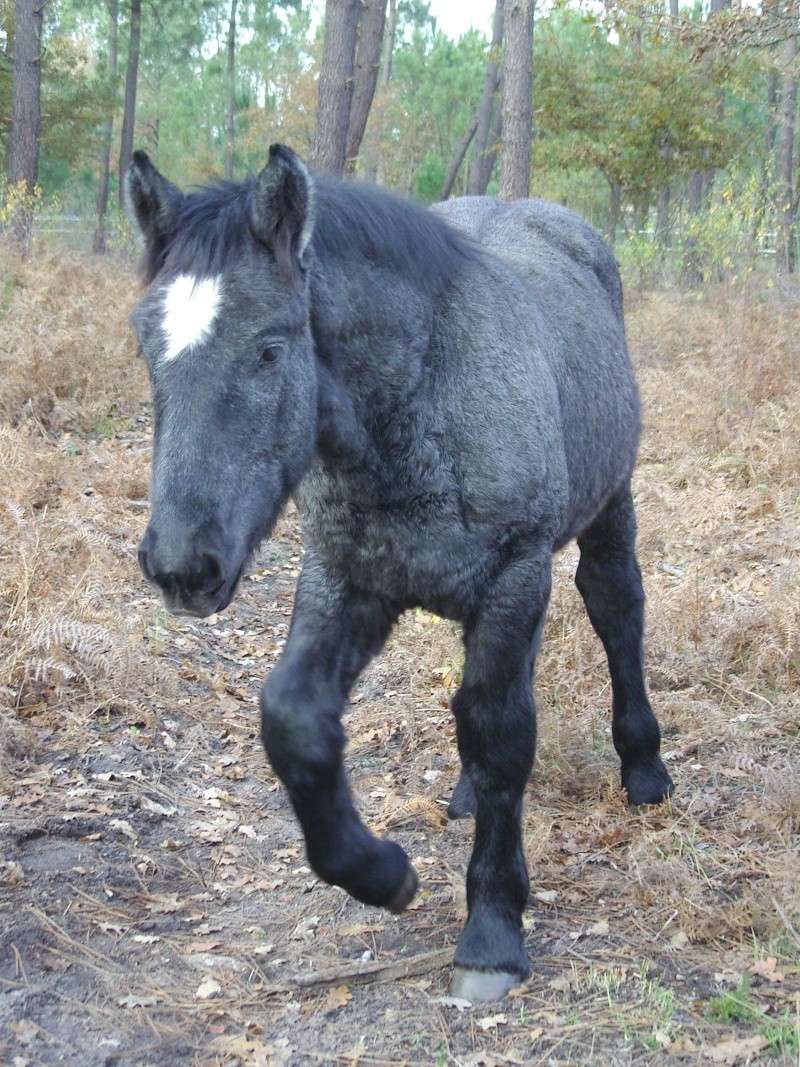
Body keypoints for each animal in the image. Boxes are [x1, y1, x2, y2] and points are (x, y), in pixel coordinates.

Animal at [126, 146, 678, 1002]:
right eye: (146, 346)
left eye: (270, 347)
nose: (182, 562)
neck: (419, 404)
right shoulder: (347, 582)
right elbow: (293, 718)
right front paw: (381, 872)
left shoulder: (515, 578)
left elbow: (502, 733)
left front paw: (492, 931)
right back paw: (462, 797)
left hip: (608, 507)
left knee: (617, 611)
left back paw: (644, 770)